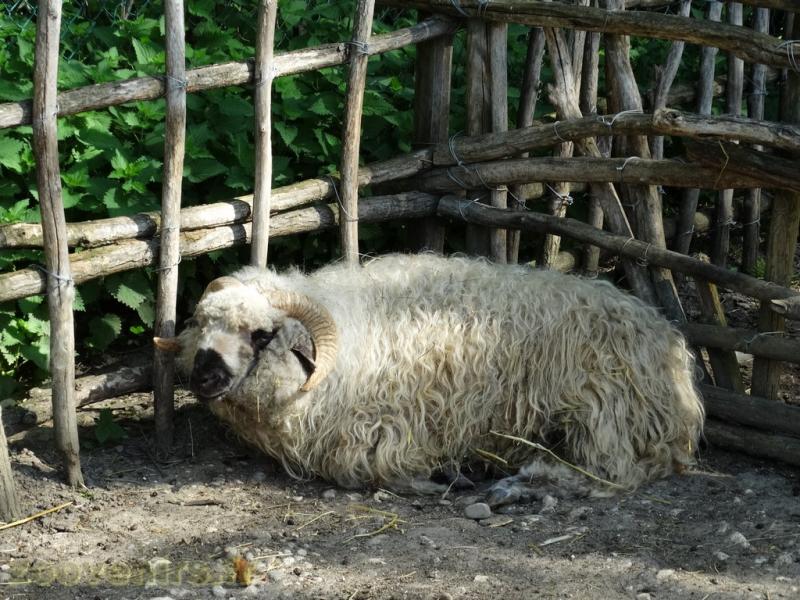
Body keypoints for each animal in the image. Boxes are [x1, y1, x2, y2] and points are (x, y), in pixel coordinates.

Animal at [156, 253, 704, 500]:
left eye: (262, 334)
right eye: (202, 322)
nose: (204, 375)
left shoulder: (386, 431)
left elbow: (374, 470)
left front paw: (445, 475)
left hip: (602, 414)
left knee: (614, 473)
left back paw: (523, 479)